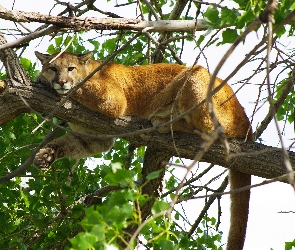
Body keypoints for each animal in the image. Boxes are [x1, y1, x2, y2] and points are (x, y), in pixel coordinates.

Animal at [34, 51, 252, 250]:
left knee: (211, 130)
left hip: (195, 76)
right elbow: (68, 144)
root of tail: (245, 120)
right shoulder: (93, 136)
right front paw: (45, 156)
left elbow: (80, 86)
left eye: (70, 68)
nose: (60, 81)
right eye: (53, 68)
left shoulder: (112, 100)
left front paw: (43, 81)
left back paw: (163, 121)